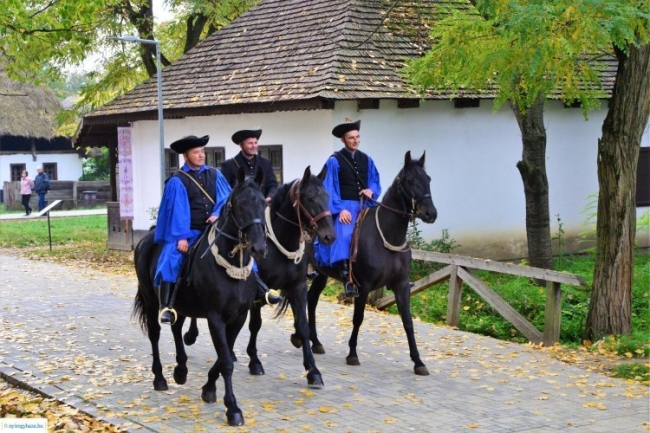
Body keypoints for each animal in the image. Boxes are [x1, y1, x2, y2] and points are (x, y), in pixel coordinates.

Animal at [133, 166, 268, 426]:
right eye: (239, 204)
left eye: (263, 204)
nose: (259, 248)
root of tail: (147, 238)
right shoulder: (215, 317)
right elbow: (226, 361)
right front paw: (232, 408)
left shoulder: (238, 317)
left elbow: (225, 355)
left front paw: (209, 389)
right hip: (151, 299)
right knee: (155, 334)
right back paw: (160, 378)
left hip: (181, 304)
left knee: (176, 328)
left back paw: (181, 370)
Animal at [182, 167, 334, 386]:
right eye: (309, 197)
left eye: (327, 196)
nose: (329, 235)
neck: (280, 242)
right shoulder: (256, 293)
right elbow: (255, 325)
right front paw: (254, 361)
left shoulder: (297, 286)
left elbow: (303, 325)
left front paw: (313, 371)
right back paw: (192, 335)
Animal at [306, 152, 438, 374]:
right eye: (410, 181)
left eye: (428, 179)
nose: (431, 213)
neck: (387, 235)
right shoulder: (364, 286)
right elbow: (358, 318)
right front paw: (352, 354)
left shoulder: (401, 286)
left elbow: (408, 322)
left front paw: (418, 362)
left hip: (321, 275)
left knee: (311, 300)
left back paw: (314, 342)